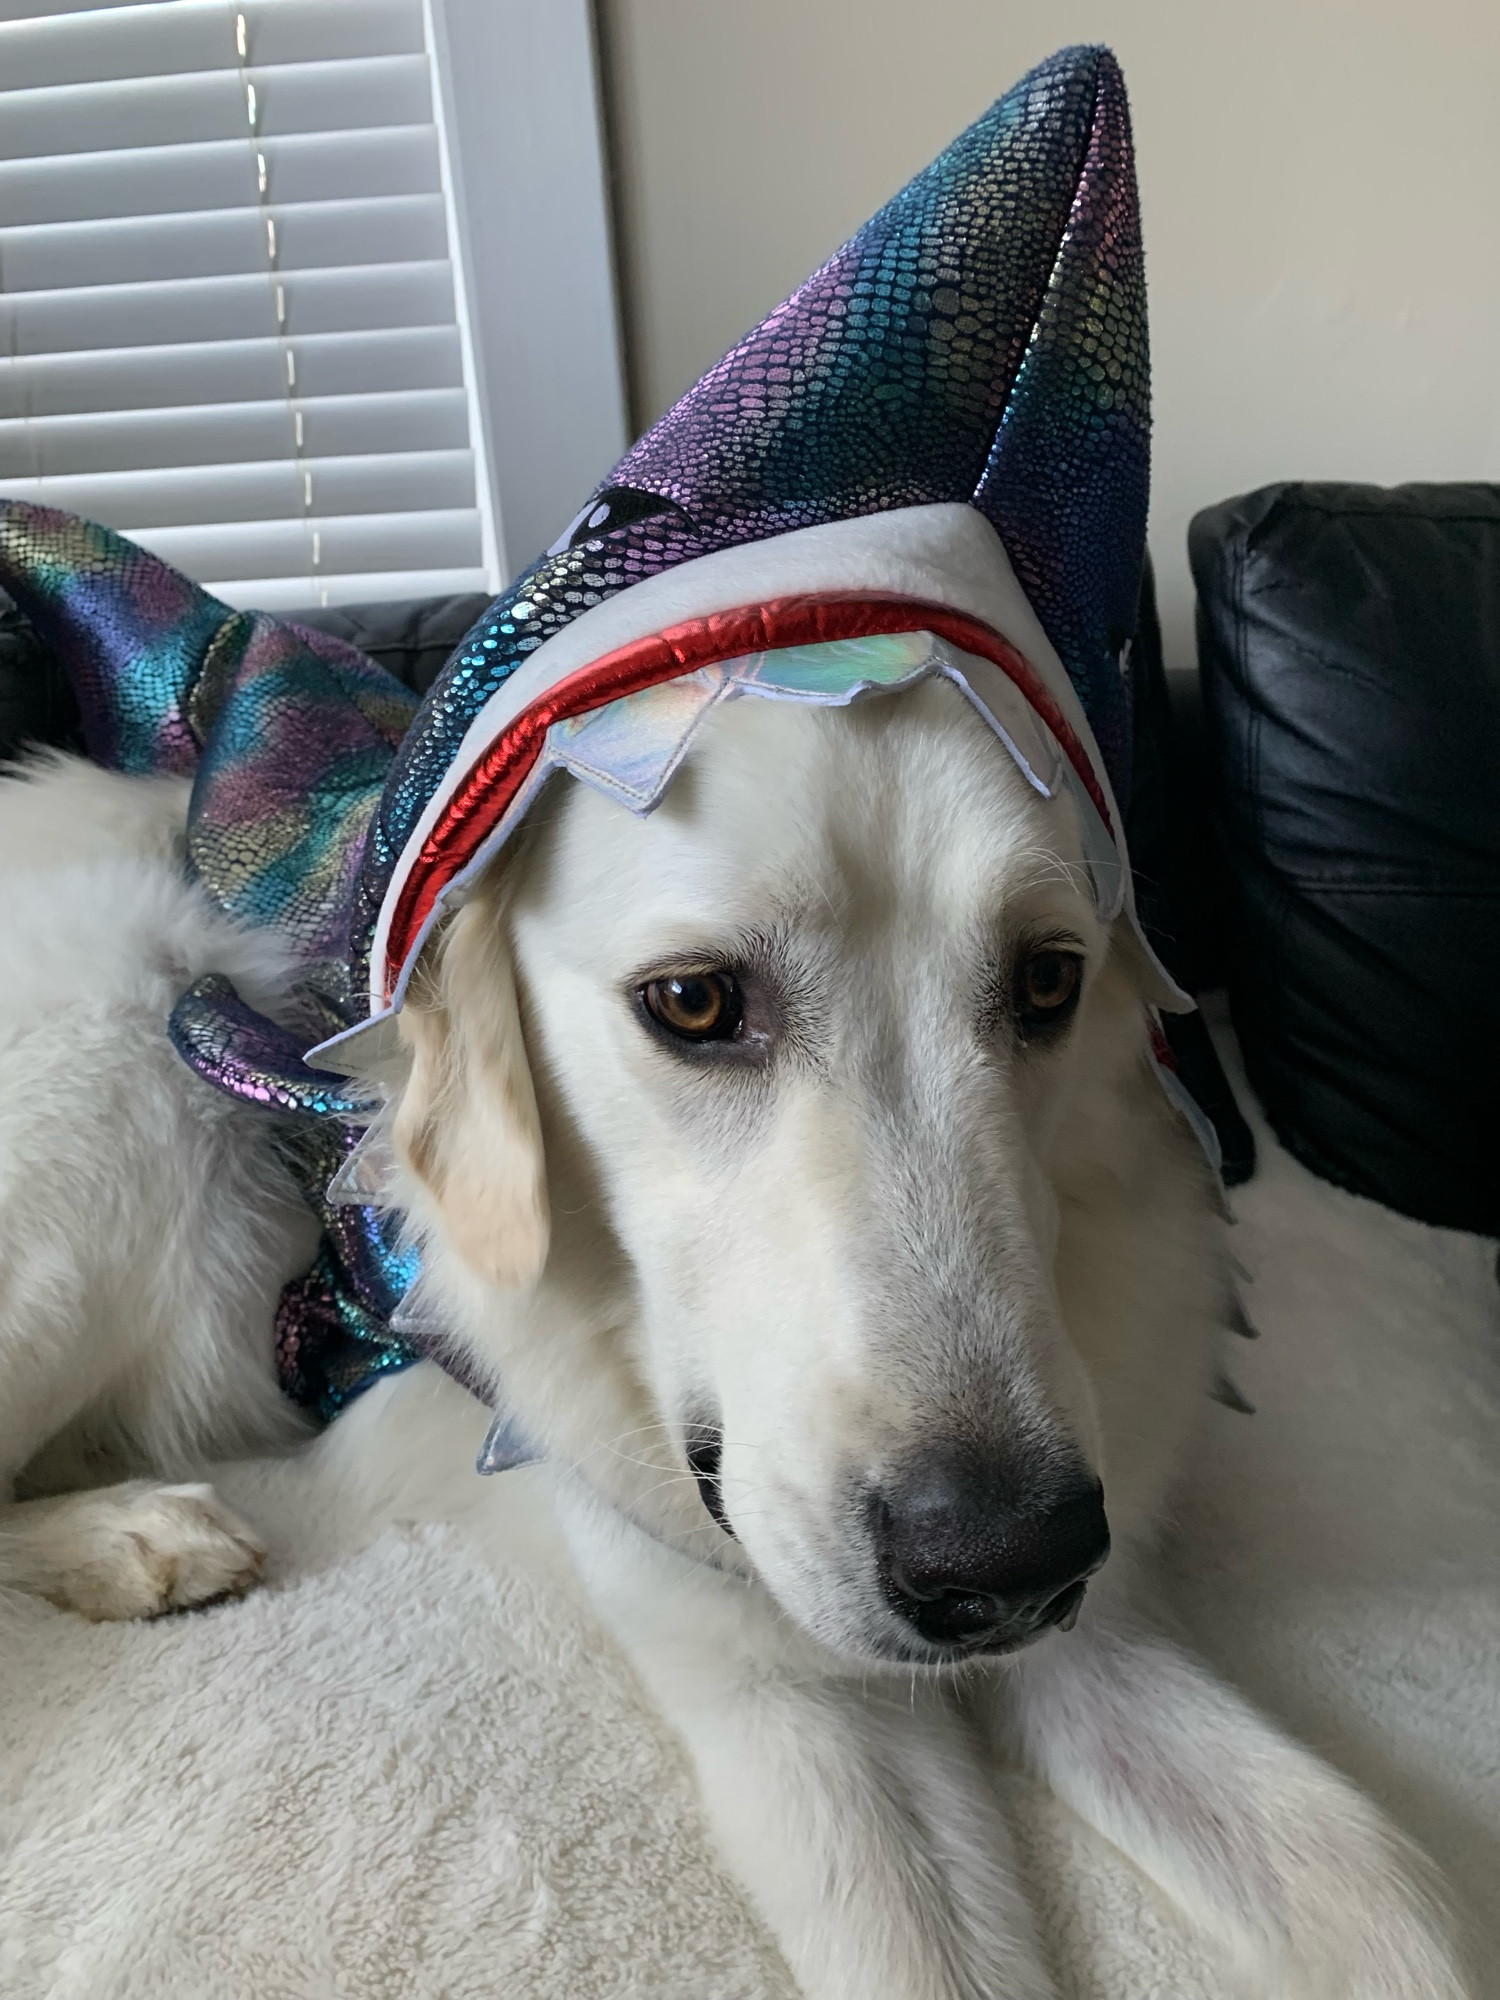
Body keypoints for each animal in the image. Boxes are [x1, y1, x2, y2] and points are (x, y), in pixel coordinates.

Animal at [0, 676, 1472, 2000]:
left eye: (1049, 979)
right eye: (695, 1003)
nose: (1004, 1566)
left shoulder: (1098, 1636)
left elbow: (1381, 1894)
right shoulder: (790, 1708)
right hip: (123, 1068)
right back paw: (133, 1535)